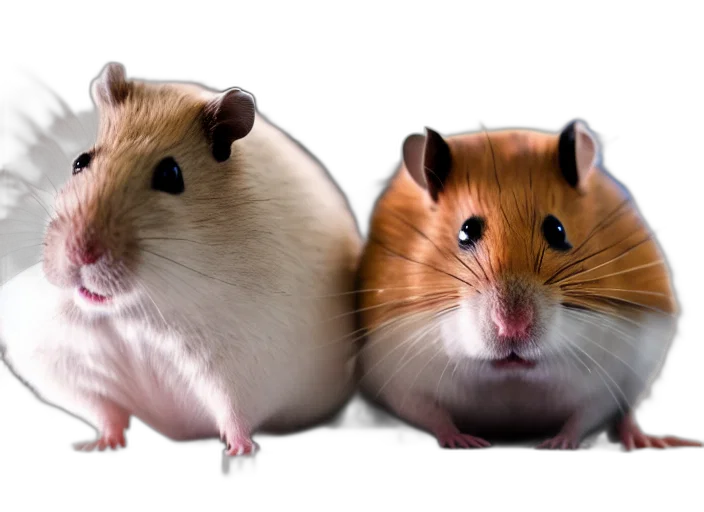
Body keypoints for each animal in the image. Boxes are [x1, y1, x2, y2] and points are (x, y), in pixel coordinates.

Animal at [0, 62, 363, 460]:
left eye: (170, 175)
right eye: (80, 162)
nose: (80, 253)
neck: (142, 309)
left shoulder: (246, 368)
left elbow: (235, 413)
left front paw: (239, 452)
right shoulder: (68, 366)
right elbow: (106, 412)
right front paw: (95, 444)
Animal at [356, 121, 703, 452]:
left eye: (557, 230)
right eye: (465, 232)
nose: (512, 327)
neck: (514, 378)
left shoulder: (613, 374)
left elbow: (586, 415)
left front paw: (558, 444)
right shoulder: (398, 378)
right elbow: (430, 414)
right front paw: (464, 442)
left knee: (626, 414)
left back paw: (646, 440)